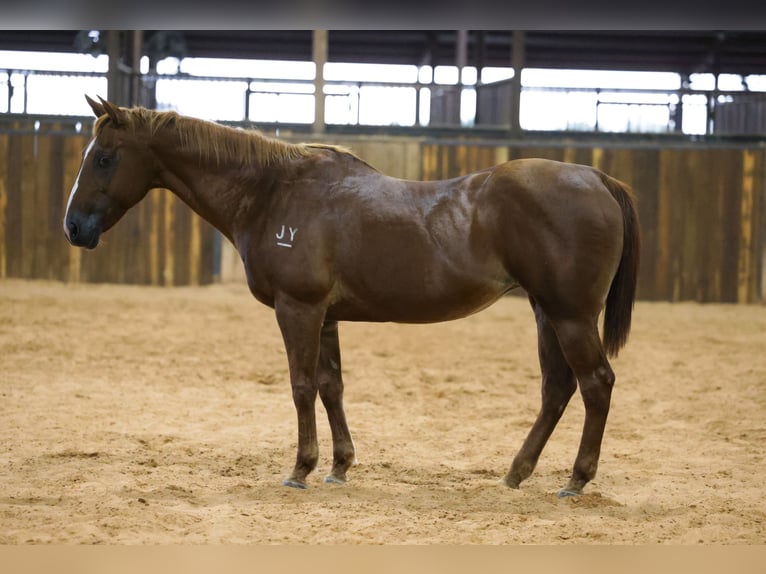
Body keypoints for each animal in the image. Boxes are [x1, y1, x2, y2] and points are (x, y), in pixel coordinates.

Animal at [64, 95, 640, 497]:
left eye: (105, 158)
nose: (73, 227)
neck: (275, 193)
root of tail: (597, 177)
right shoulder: (326, 317)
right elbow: (330, 386)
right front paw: (339, 467)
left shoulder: (297, 309)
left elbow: (300, 386)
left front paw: (300, 469)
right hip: (547, 313)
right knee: (557, 388)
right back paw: (516, 473)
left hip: (570, 316)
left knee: (596, 384)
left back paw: (576, 480)